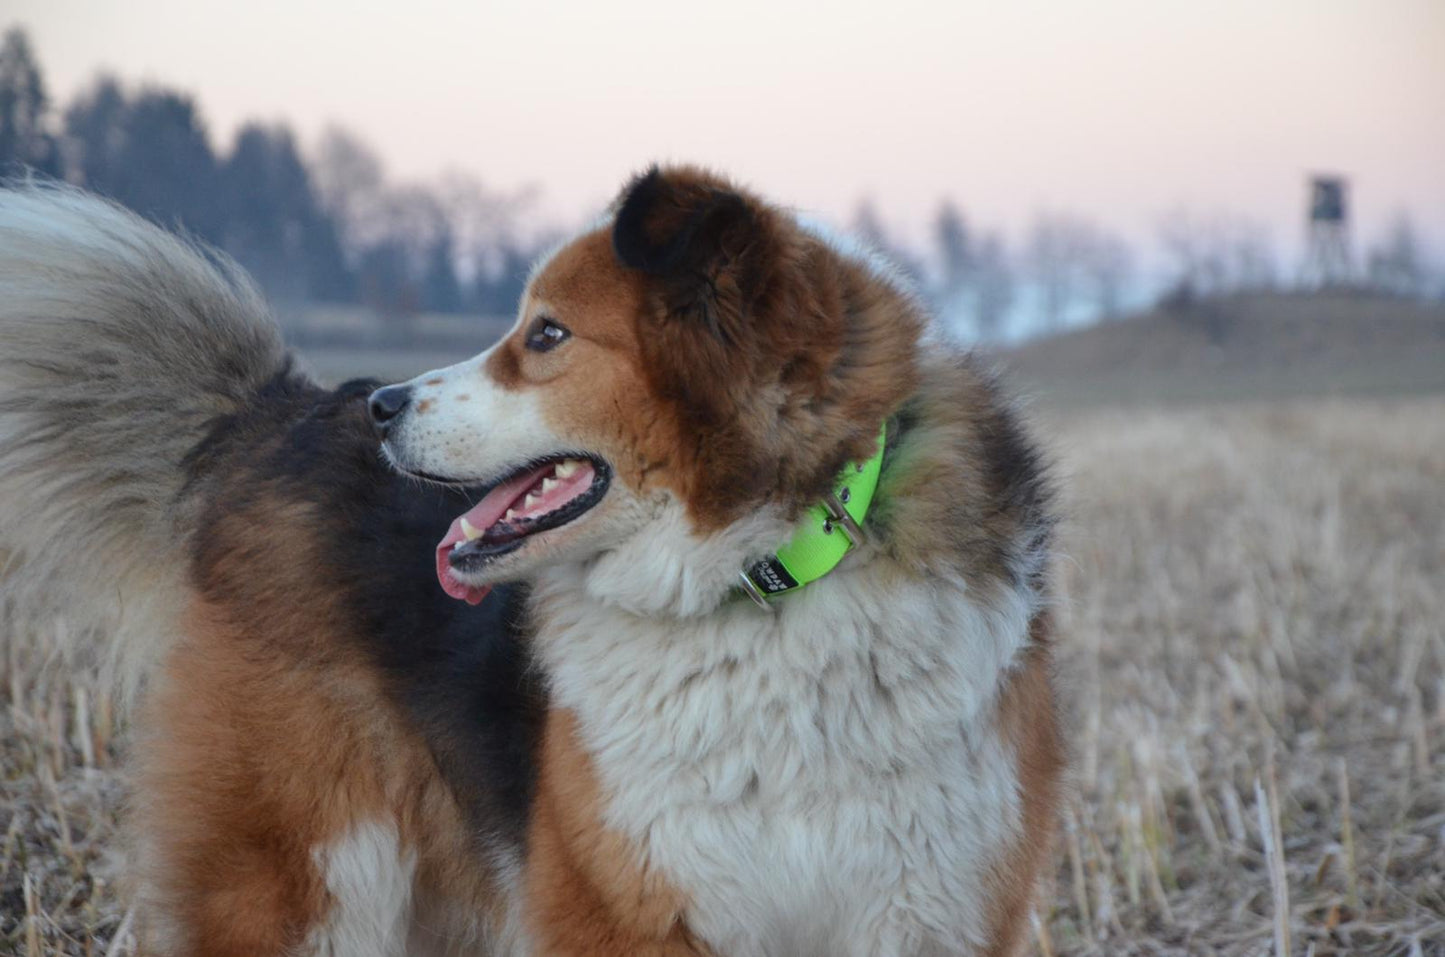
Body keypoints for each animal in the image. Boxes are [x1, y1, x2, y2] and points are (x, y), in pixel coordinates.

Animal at [0, 168, 1063, 954]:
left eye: (547, 333)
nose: (383, 405)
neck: (761, 580)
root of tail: (280, 414)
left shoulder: (931, 907)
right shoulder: (625, 908)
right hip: (303, 876)